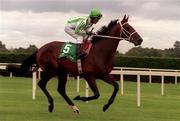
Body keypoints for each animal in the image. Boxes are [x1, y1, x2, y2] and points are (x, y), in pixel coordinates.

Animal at [9, 14, 142, 114]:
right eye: (128, 27)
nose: (140, 40)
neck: (100, 51)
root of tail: (40, 49)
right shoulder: (89, 75)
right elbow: (96, 94)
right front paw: (80, 97)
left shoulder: (103, 75)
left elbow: (116, 86)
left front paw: (106, 106)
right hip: (51, 70)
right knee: (42, 84)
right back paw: (52, 104)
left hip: (62, 72)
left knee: (60, 90)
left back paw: (74, 108)